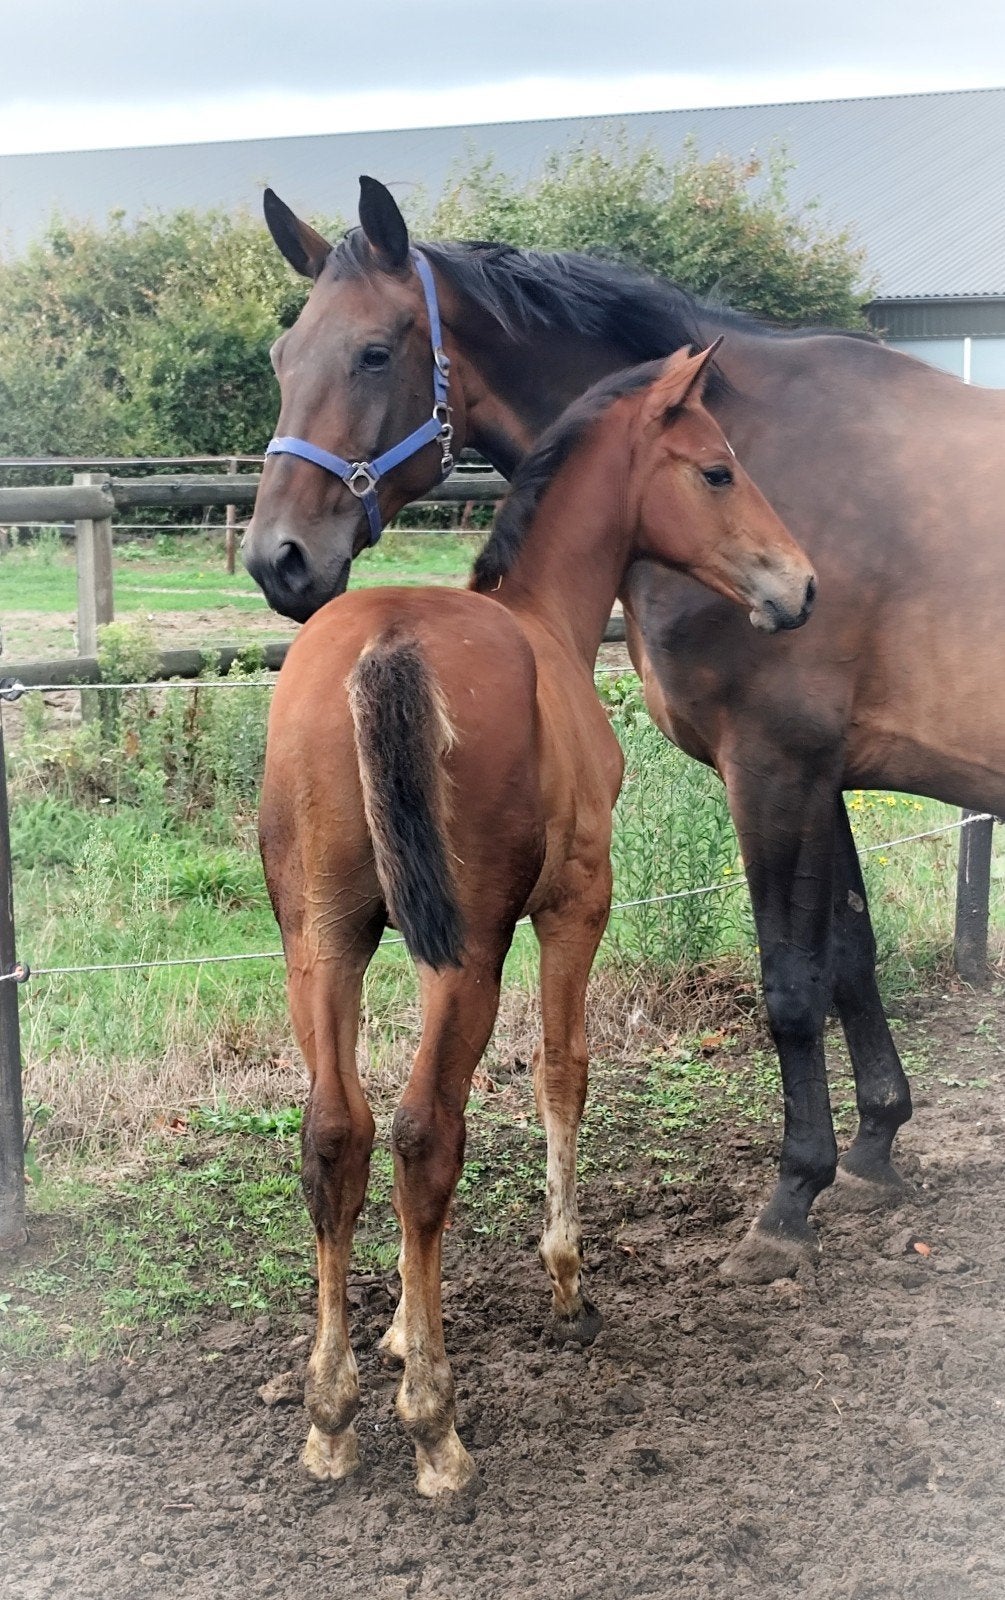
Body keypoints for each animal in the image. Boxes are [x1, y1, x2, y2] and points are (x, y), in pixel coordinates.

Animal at [245, 177, 1005, 1285]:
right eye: (281, 355)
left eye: (375, 353)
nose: (279, 558)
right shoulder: (820, 774)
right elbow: (849, 955)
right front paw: (872, 1146)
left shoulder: (773, 765)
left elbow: (790, 982)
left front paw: (791, 1195)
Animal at [259, 346, 815, 1494]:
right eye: (718, 469)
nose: (798, 585)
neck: (546, 622)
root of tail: (384, 643)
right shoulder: (573, 907)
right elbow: (564, 1070)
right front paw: (566, 1284)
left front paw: (396, 1330)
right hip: (465, 949)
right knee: (424, 1133)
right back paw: (436, 1429)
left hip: (322, 941)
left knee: (337, 1133)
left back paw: (332, 1416)